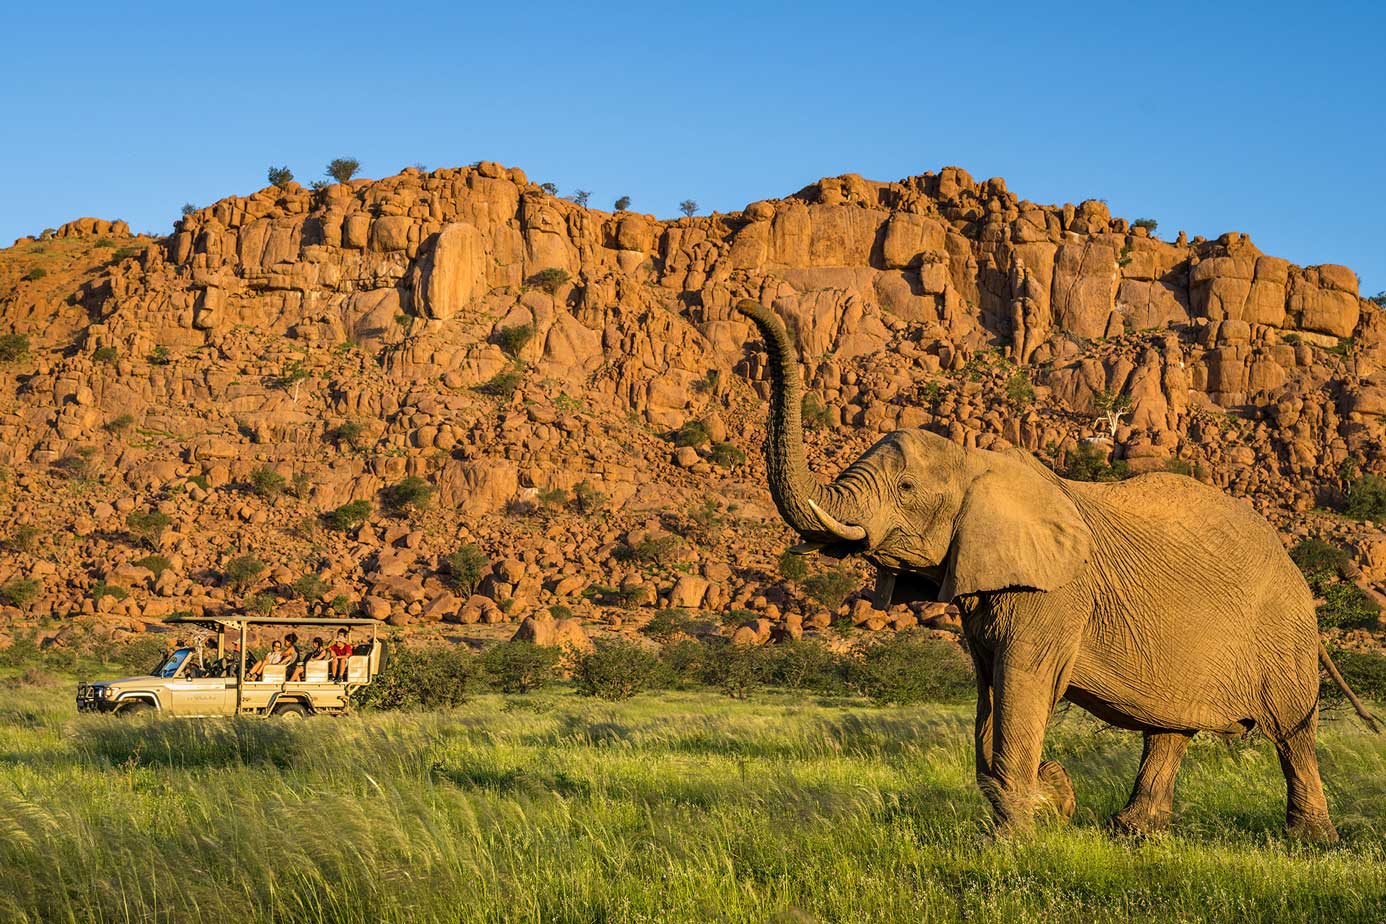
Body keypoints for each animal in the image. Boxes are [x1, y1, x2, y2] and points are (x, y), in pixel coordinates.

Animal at [735, 299, 1379, 842]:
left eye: (908, 487)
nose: (745, 304)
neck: (980, 461)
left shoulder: (1054, 593)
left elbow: (1021, 682)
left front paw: (1015, 837)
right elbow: (988, 692)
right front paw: (1044, 804)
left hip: (1283, 636)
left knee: (1293, 734)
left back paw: (1311, 842)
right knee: (1170, 730)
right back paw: (1131, 834)